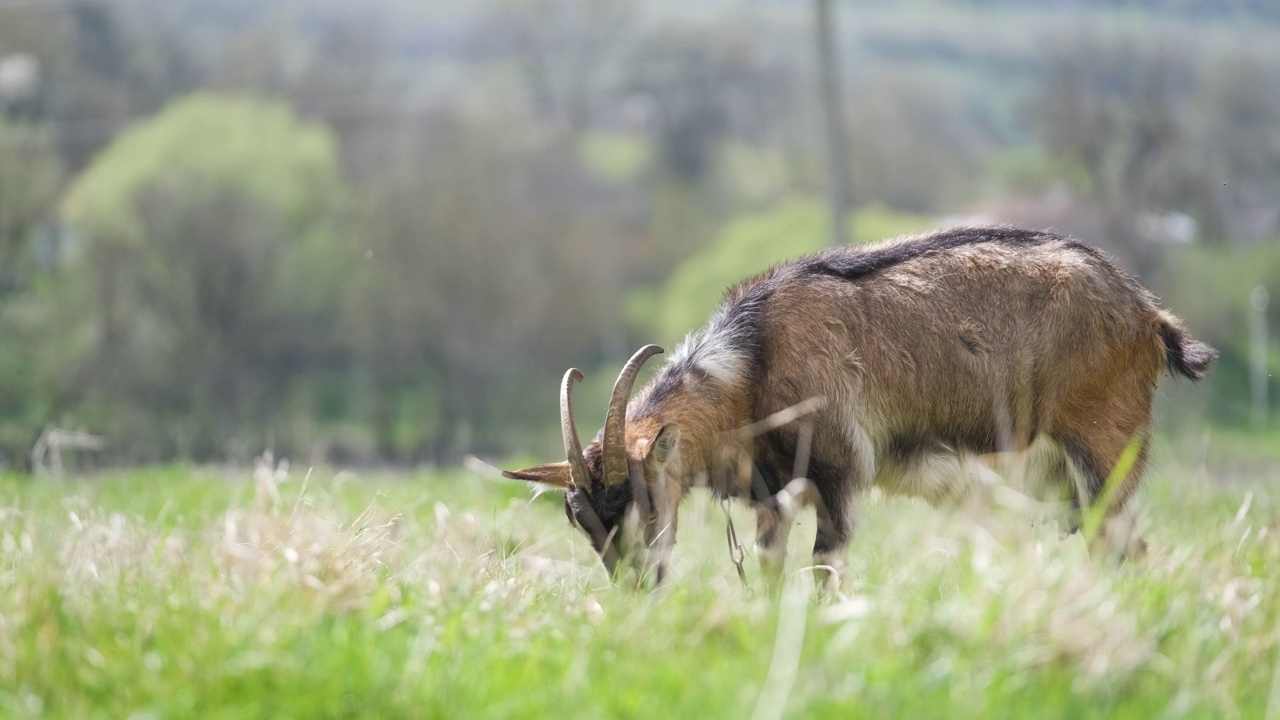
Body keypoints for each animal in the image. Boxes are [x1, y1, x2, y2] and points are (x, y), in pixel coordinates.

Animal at [499, 224, 1208, 584]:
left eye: (642, 495)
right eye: (579, 519)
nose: (637, 585)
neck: (753, 362)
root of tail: (1149, 317)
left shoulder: (839, 473)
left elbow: (823, 569)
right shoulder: (776, 495)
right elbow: (771, 569)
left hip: (1103, 450)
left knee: (1122, 547)